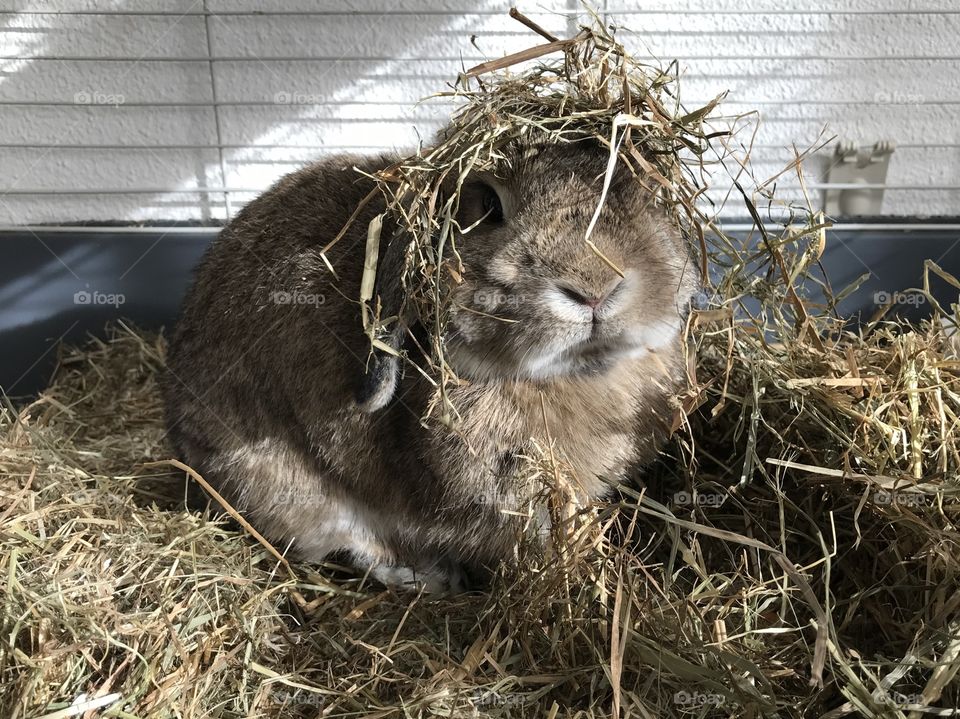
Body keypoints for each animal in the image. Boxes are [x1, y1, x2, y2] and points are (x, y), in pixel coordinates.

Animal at [162, 135, 700, 592]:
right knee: (345, 544)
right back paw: (428, 578)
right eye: (488, 206)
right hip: (290, 491)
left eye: (642, 191)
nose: (594, 288)